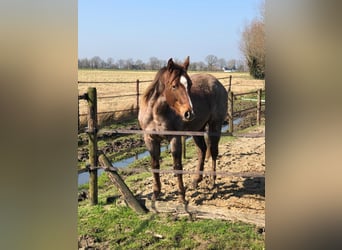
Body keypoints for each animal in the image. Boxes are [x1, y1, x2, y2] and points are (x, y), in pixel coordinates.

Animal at [138, 55, 228, 202]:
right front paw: (156, 194)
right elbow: (155, 165)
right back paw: (196, 180)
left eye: (190, 84)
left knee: (213, 152)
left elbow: (177, 166)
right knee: (202, 150)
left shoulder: (175, 138)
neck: (156, 113)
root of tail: (218, 84)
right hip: (197, 129)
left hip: (215, 125)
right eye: (174, 86)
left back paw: (212, 181)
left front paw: (182, 197)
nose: (189, 113)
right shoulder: (150, 139)